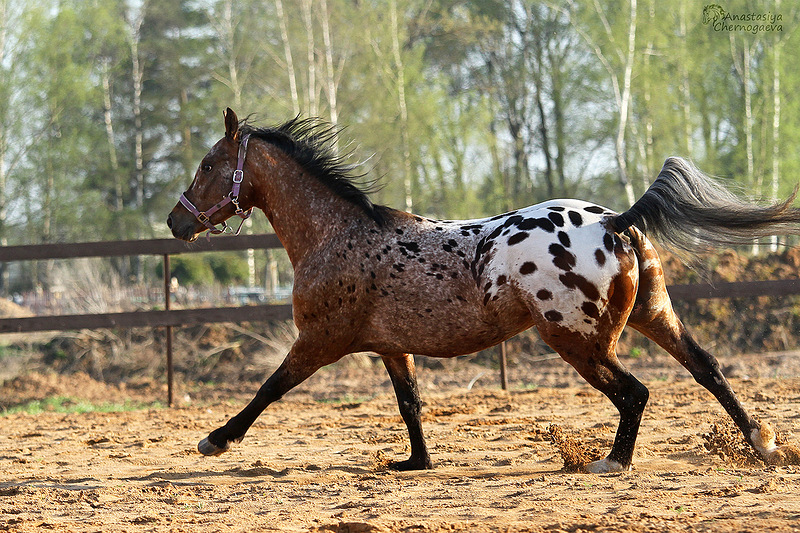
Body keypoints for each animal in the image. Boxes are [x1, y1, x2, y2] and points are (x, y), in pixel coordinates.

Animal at [167, 107, 800, 470]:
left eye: (207, 165)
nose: (176, 222)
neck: (337, 234)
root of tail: (614, 222)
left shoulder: (320, 340)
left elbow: (268, 389)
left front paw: (215, 441)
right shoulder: (390, 347)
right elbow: (409, 403)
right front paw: (416, 463)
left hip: (576, 341)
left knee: (635, 392)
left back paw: (612, 462)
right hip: (653, 314)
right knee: (706, 368)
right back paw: (764, 444)